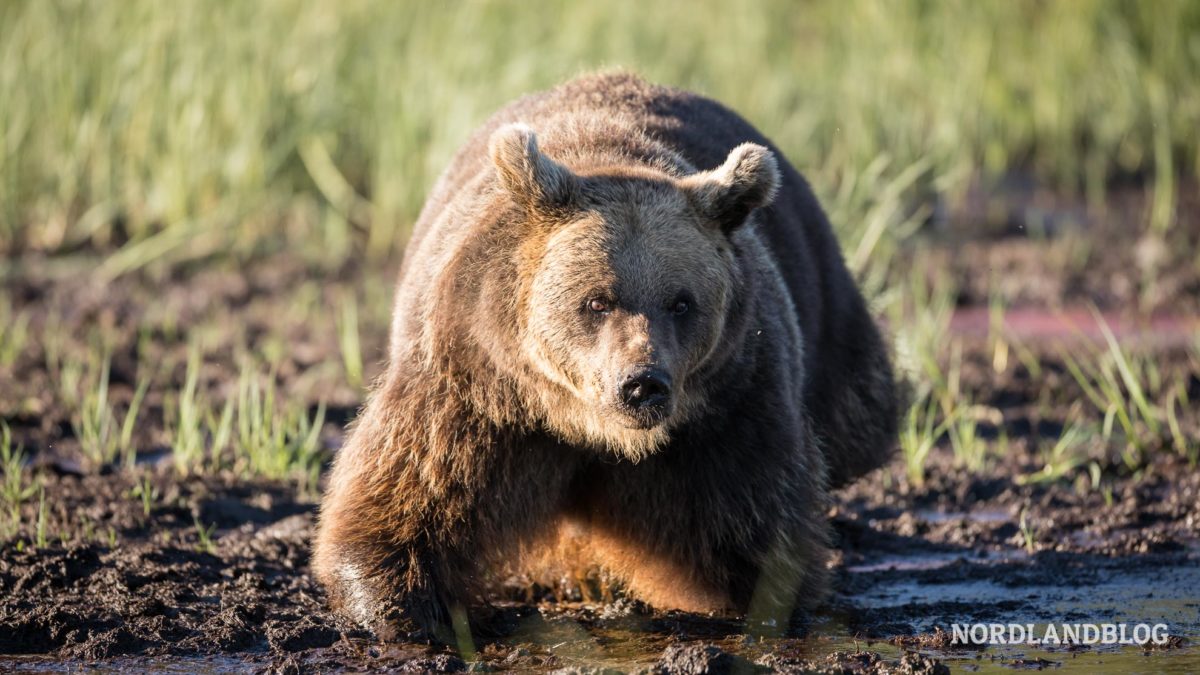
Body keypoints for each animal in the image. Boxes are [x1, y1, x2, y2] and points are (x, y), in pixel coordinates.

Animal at [314, 70, 897, 638]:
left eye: (681, 301)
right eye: (597, 300)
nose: (642, 383)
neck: (587, 428)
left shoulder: (731, 404)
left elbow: (750, 519)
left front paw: (756, 599)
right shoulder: (478, 385)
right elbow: (414, 488)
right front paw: (405, 606)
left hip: (830, 312)